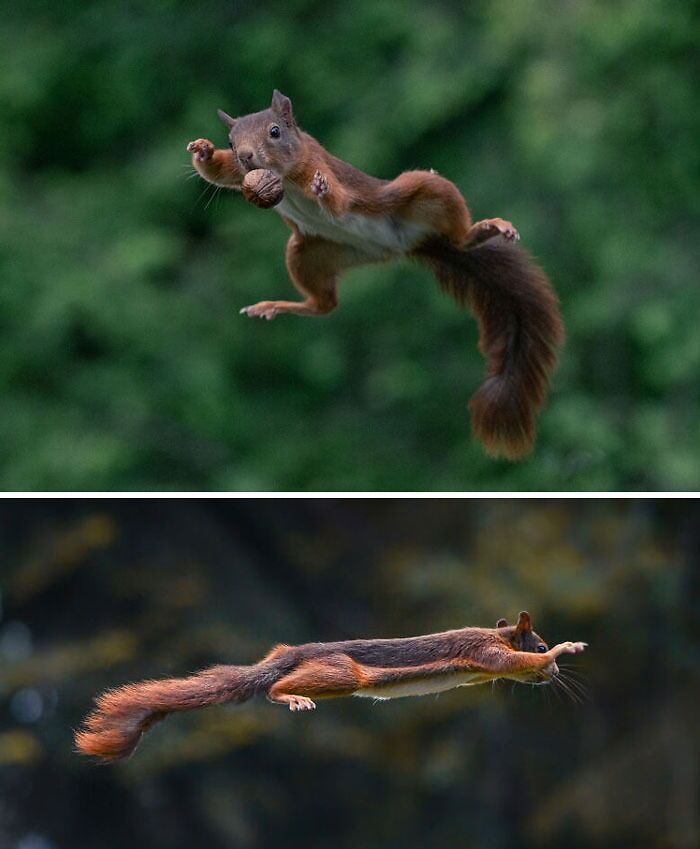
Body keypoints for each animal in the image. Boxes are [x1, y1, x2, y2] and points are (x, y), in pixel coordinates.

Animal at [74, 608, 584, 760]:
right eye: (539, 644)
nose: (554, 676)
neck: (496, 633)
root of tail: (289, 654)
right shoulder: (486, 654)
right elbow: (513, 659)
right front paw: (566, 649)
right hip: (340, 672)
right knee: (273, 688)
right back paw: (290, 695)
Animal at [186, 90, 564, 460]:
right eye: (232, 142)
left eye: (275, 132)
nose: (247, 156)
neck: (286, 176)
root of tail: (406, 244)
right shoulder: (238, 174)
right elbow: (218, 173)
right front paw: (202, 150)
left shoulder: (319, 165)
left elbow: (338, 201)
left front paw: (323, 190)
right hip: (309, 254)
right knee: (324, 305)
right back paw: (274, 306)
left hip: (421, 191)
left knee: (457, 234)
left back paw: (484, 229)